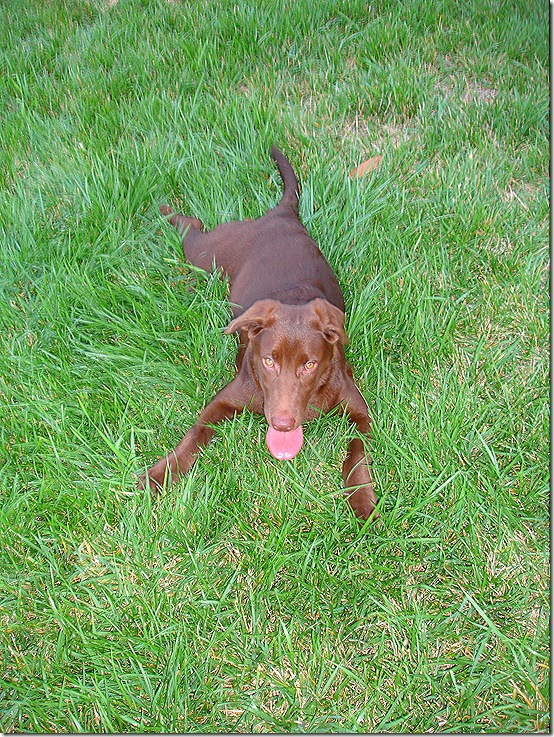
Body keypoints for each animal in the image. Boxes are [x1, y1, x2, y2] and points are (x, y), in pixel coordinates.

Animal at [138, 147, 377, 520]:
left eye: (309, 365)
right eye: (268, 361)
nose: (282, 424)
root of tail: (280, 215)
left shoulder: (359, 410)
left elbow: (357, 452)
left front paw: (362, 498)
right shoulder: (225, 399)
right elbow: (195, 433)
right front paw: (160, 473)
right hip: (208, 254)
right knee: (193, 228)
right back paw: (164, 211)